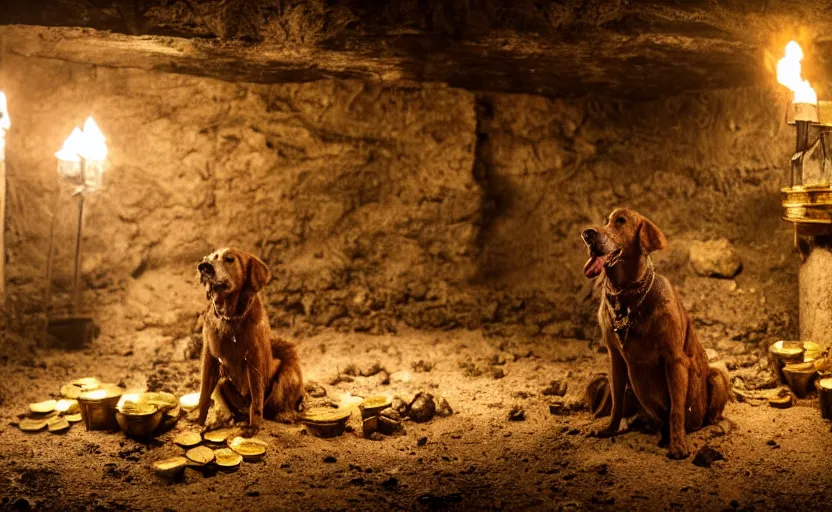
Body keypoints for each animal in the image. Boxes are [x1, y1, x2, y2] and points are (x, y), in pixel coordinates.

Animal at [197, 246, 304, 434]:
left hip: (287, 374)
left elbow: (256, 397)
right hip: (223, 383)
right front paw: (200, 422)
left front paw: (254, 426)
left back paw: (284, 415)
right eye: (209, 257)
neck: (229, 317)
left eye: (230, 259)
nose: (204, 267)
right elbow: (203, 395)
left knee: (274, 405)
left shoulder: (255, 359)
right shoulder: (209, 356)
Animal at [580, 208, 732, 460]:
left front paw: (678, 444)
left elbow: (677, 409)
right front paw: (610, 428)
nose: (587, 234)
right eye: (605, 221)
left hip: (716, 378)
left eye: (621, 221)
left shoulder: (674, 359)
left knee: (709, 416)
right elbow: (616, 403)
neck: (627, 298)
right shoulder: (615, 358)